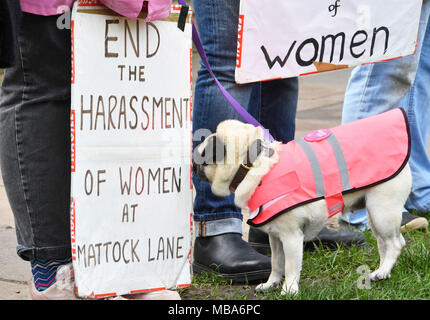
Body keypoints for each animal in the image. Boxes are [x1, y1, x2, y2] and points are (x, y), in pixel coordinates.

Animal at [193, 117, 412, 296]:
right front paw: (271, 284)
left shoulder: (291, 236)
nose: (193, 160)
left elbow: (290, 266)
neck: (252, 163)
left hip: (382, 211)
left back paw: (384, 270)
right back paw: (381, 272)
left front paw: (289, 289)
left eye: (202, 156)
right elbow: (276, 263)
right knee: (383, 244)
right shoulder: (275, 237)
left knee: (395, 243)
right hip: (375, 214)